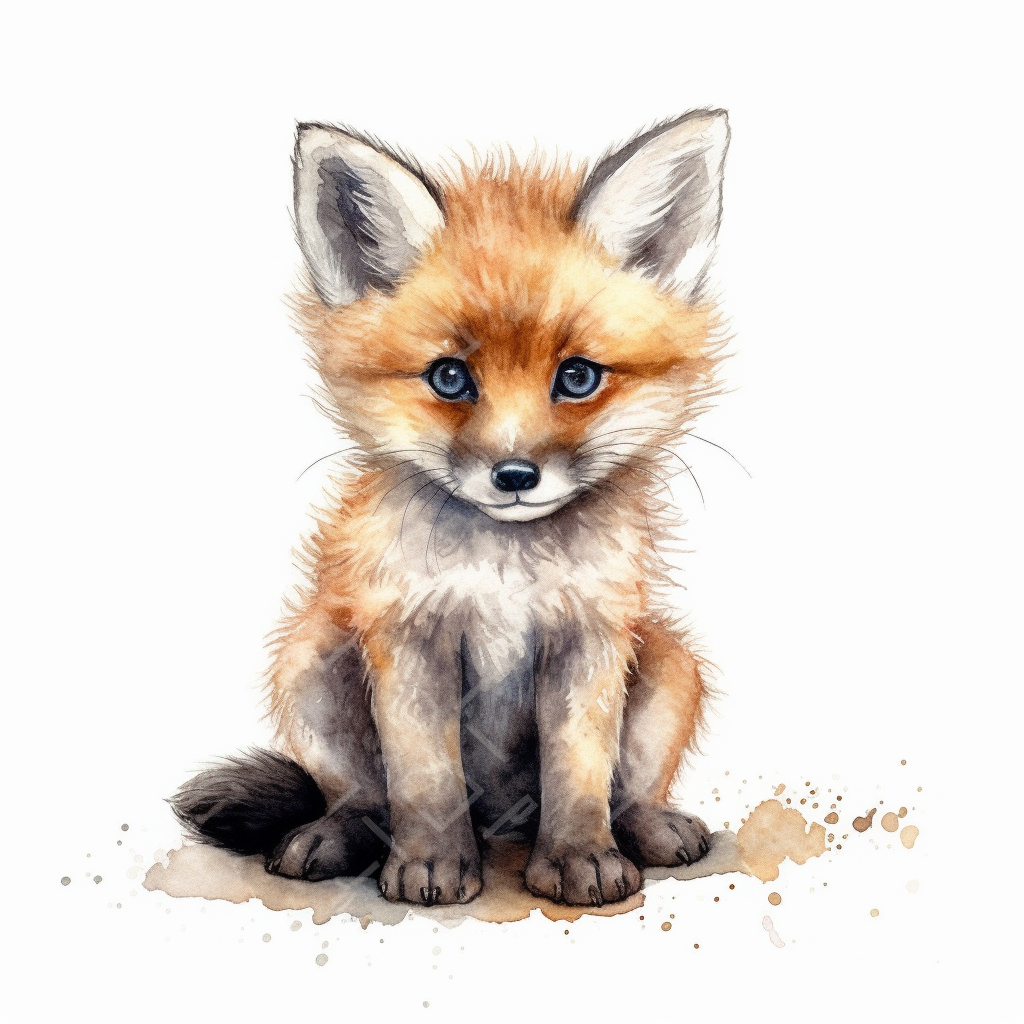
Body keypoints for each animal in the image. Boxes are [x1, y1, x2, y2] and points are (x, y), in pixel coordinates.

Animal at [171, 109, 731, 908]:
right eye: (449, 377)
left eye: (578, 377)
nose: (515, 474)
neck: (504, 573)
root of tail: (502, 819)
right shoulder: (409, 638)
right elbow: (424, 777)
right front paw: (433, 864)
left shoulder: (589, 635)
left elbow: (581, 769)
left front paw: (578, 857)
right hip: (311, 662)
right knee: (361, 798)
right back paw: (332, 836)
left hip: (669, 666)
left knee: (628, 790)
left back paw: (646, 828)